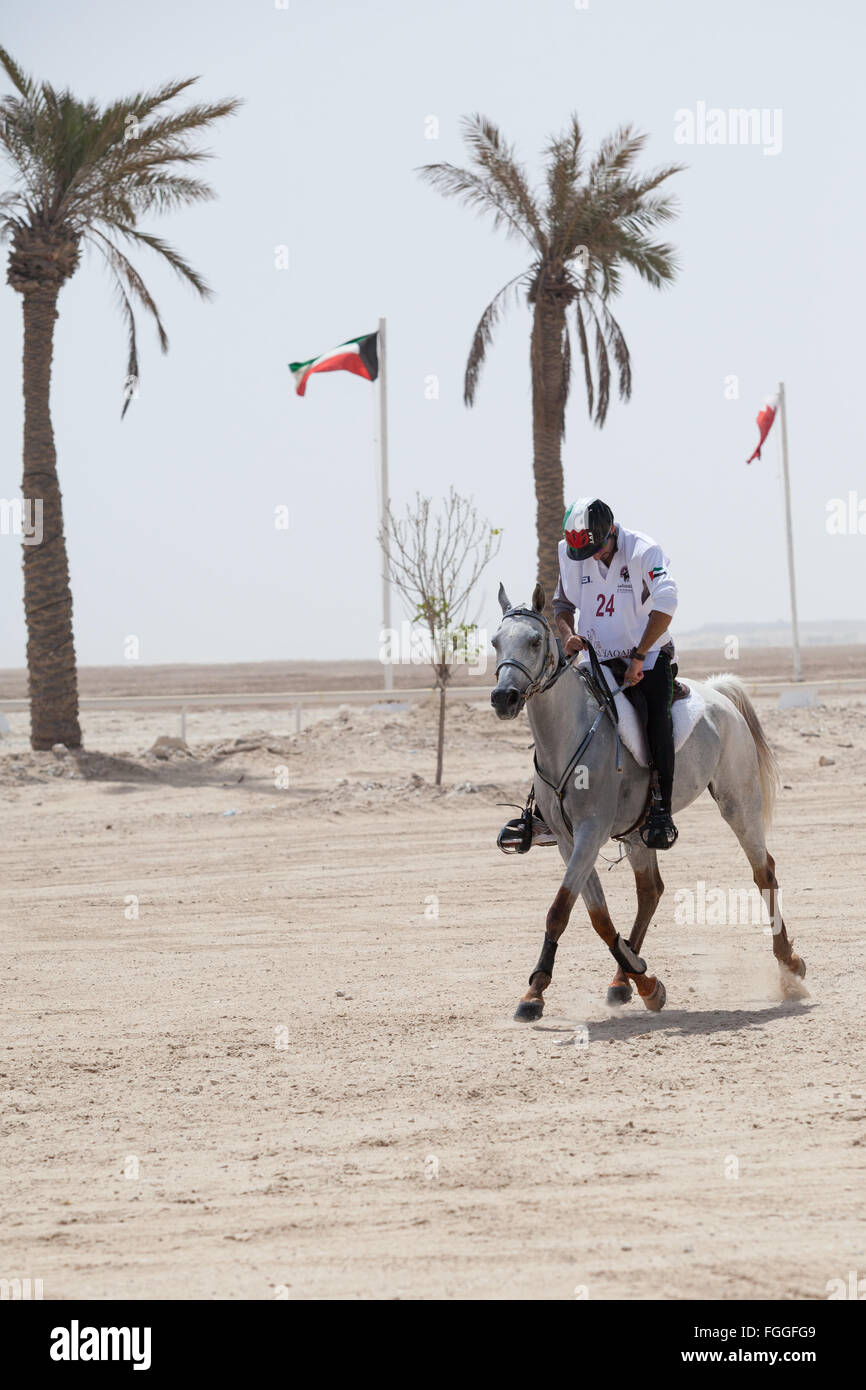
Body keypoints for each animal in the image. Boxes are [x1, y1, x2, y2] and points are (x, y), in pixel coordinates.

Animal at [492, 583, 811, 1023]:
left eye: (535, 641)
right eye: (495, 642)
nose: (503, 698)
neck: (567, 736)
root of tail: (718, 692)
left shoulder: (590, 833)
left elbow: (560, 910)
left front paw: (536, 993)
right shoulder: (568, 841)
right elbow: (597, 916)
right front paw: (640, 981)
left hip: (738, 803)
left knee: (764, 872)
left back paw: (790, 965)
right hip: (638, 833)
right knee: (651, 891)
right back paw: (623, 982)